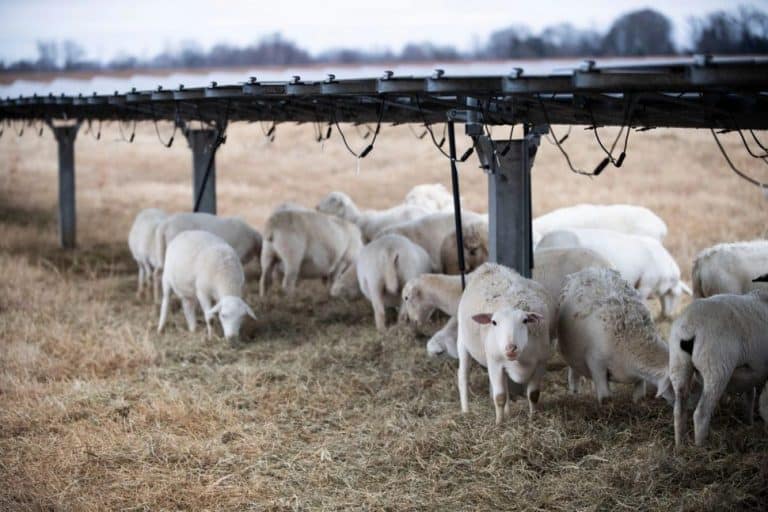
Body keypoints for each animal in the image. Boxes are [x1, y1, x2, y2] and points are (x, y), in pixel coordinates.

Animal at [456, 264, 552, 424]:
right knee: (463, 376)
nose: (510, 348)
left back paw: (507, 412)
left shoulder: (540, 363)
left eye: (525, 320)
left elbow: (533, 394)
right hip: (462, 341)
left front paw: (533, 417)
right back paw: (465, 410)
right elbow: (499, 396)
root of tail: (488, 266)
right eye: (494, 322)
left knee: (506, 385)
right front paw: (499, 423)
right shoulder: (494, 362)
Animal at [560, 268, 672, 404]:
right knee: (573, 369)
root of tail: (590, 269)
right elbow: (605, 396)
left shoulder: (637, 374)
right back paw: (575, 390)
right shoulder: (595, 362)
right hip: (572, 351)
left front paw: (638, 401)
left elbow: (640, 390)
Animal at [664, 290, 768, 446]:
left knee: (679, 409)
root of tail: (690, 326)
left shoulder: (751, 374)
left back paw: (680, 445)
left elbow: (750, 395)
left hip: (678, 363)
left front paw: (749, 423)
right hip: (716, 368)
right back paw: (700, 447)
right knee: (701, 414)